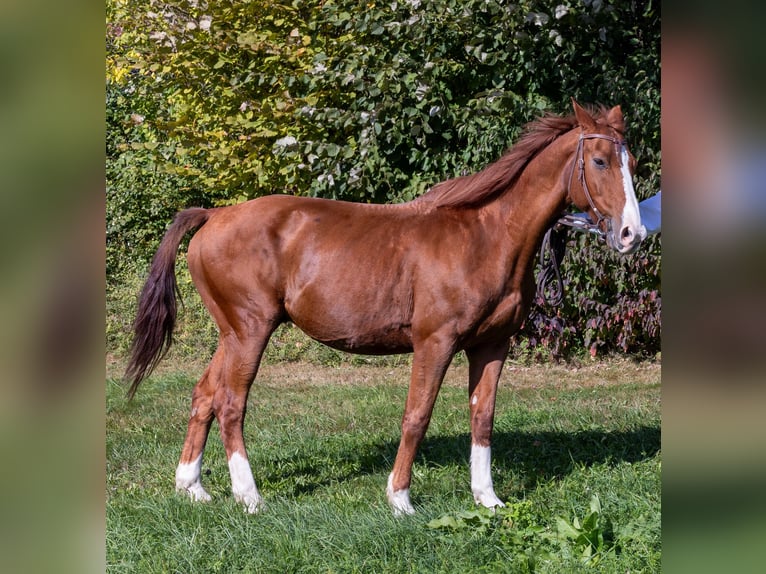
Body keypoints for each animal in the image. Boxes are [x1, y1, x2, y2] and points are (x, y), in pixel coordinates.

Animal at [126, 100, 648, 516]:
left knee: (205, 396)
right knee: (232, 404)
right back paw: (249, 496)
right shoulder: (435, 342)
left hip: (231, 334)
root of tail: (214, 215)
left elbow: (483, 416)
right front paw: (400, 499)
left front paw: (487, 498)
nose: (632, 234)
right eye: (599, 160)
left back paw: (192, 486)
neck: (485, 235)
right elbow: (417, 415)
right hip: (251, 331)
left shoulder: (492, 345)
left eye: (633, 162)